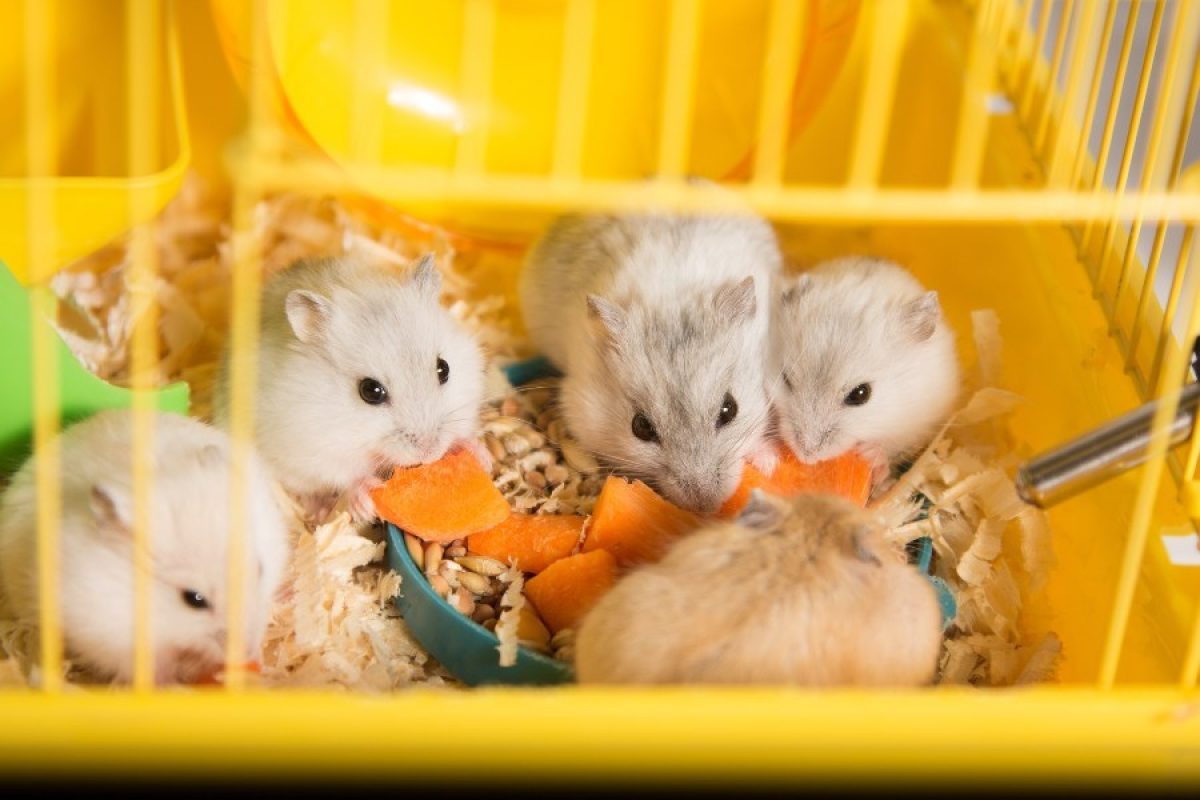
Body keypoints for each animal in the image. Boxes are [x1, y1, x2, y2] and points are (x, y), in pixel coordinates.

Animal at [213, 254, 487, 522]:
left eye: (444, 369)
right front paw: (367, 502)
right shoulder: (317, 449)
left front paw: (481, 455)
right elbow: (348, 475)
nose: (430, 452)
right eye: (370, 391)